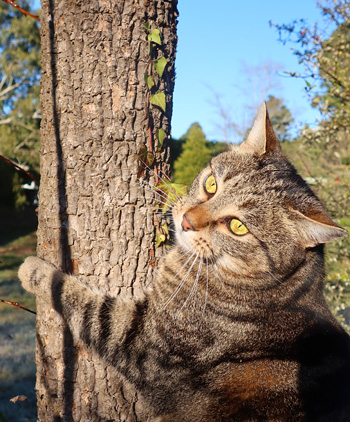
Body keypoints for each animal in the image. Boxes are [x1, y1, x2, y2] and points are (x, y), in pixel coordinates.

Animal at [18, 104, 350, 420]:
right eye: (212, 184)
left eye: (238, 226)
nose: (187, 221)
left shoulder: (141, 343)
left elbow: (79, 301)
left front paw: (34, 270)